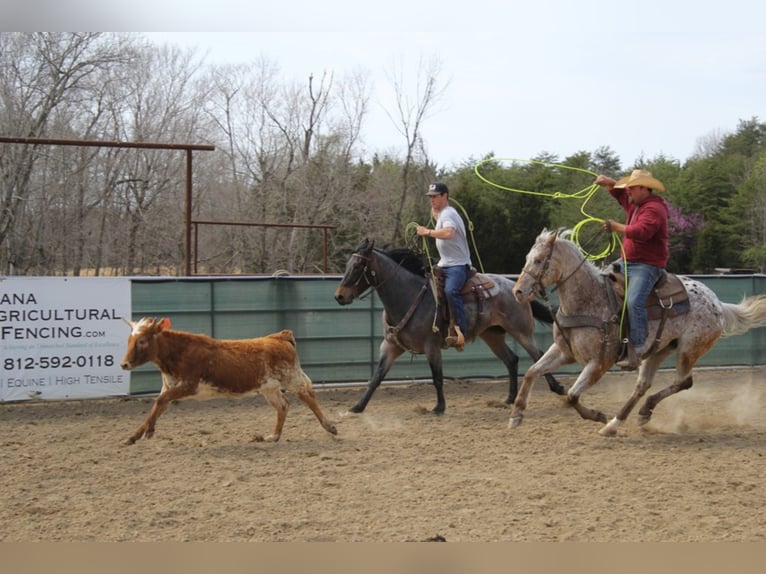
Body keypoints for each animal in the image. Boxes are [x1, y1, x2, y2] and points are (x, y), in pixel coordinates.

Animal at [119, 320, 336, 446]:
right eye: (129, 339)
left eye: (142, 340)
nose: (124, 364)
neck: (178, 352)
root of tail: (279, 337)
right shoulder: (171, 388)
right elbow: (157, 406)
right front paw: (134, 436)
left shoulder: (189, 385)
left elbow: (159, 401)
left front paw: (148, 432)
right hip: (269, 387)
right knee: (283, 405)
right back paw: (273, 436)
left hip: (291, 377)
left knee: (308, 396)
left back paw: (329, 426)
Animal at [332, 241, 568, 416]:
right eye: (347, 265)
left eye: (357, 266)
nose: (339, 296)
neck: (407, 295)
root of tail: (514, 287)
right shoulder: (390, 346)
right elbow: (376, 377)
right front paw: (357, 407)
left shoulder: (432, 347)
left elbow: (437, 377)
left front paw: (439, 407)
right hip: (492, 336)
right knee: (511, 359)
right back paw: (509, 398)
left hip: (521, 331)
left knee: (537, 356)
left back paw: (557, 388)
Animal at [510, 230, 766, 436]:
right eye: (527, 259)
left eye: (539, 260)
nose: (518, 291)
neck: (588, 301)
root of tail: (717, 303)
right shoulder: (564, 351)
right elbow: (533, 372)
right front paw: (516, 415)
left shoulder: (599, 363)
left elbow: (572, 395)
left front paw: (597, 415)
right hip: (659, 350)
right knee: (643, 386)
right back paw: (619, 422)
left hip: (688, 350)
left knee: (684, 381)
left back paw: (633, 414)